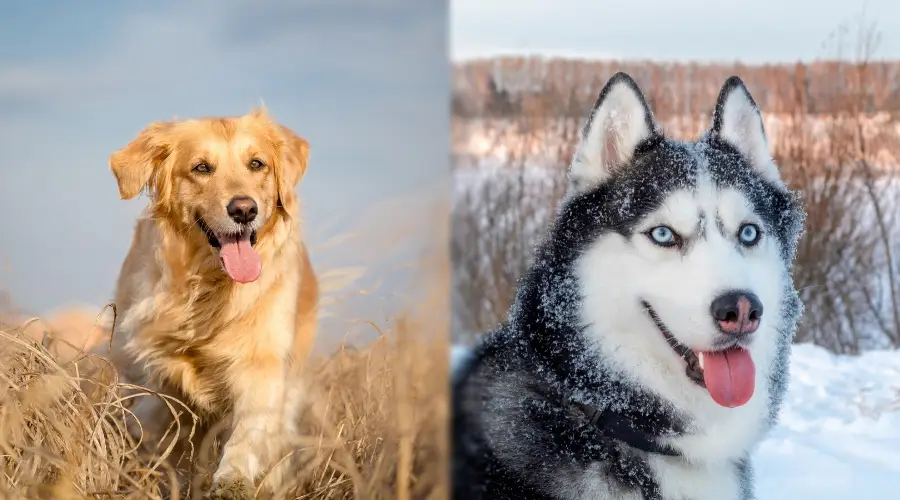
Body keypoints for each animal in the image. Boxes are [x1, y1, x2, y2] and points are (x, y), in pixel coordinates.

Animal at [95, 107, 318, 498]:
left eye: (257, 164)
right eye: (201, 168)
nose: (244, 210)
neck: (209, 288)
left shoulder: (263, 362)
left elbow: (249, 429)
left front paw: (233, 478)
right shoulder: (147, 369)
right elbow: (153, 422)